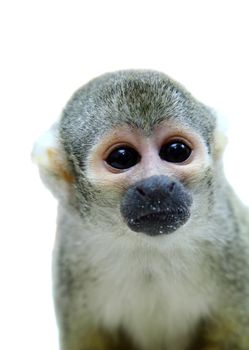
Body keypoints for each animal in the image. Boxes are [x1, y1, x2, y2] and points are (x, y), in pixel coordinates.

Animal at [32, 71, 249, 350]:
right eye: (122, 157)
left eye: (176, 151)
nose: (157, 186)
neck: (148, 247)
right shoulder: (72, 257)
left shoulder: (232, 242)